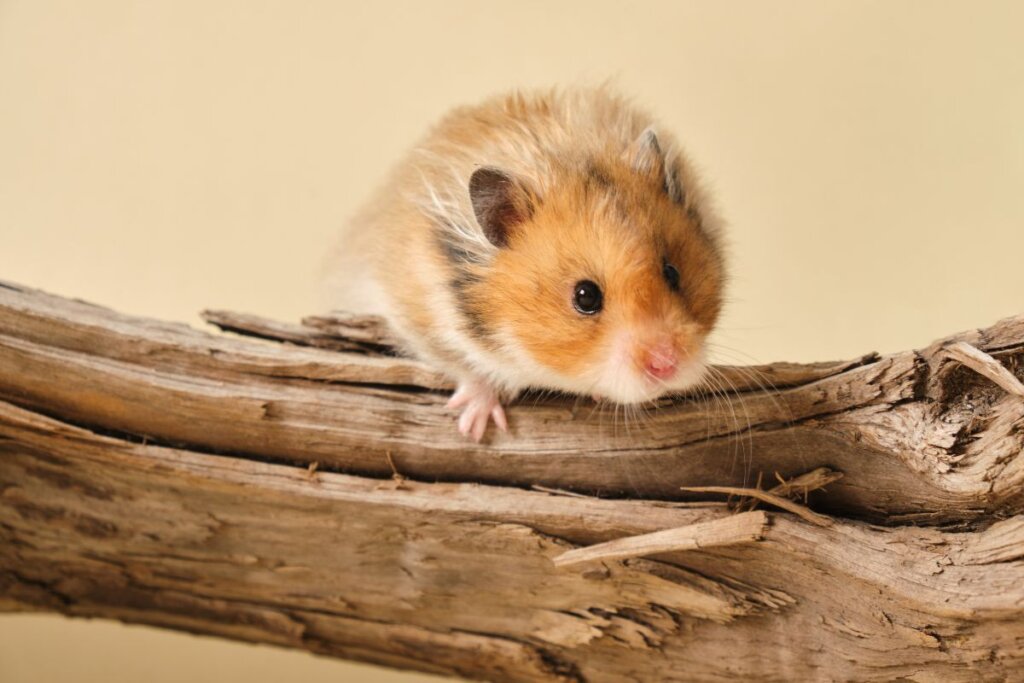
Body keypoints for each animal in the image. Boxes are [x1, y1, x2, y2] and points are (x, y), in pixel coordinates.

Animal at [322, 86, 726, 441]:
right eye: (585, 296)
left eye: (672, 273)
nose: (667, 365)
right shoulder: (418, 315)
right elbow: (467, 368)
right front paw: (476, 426)